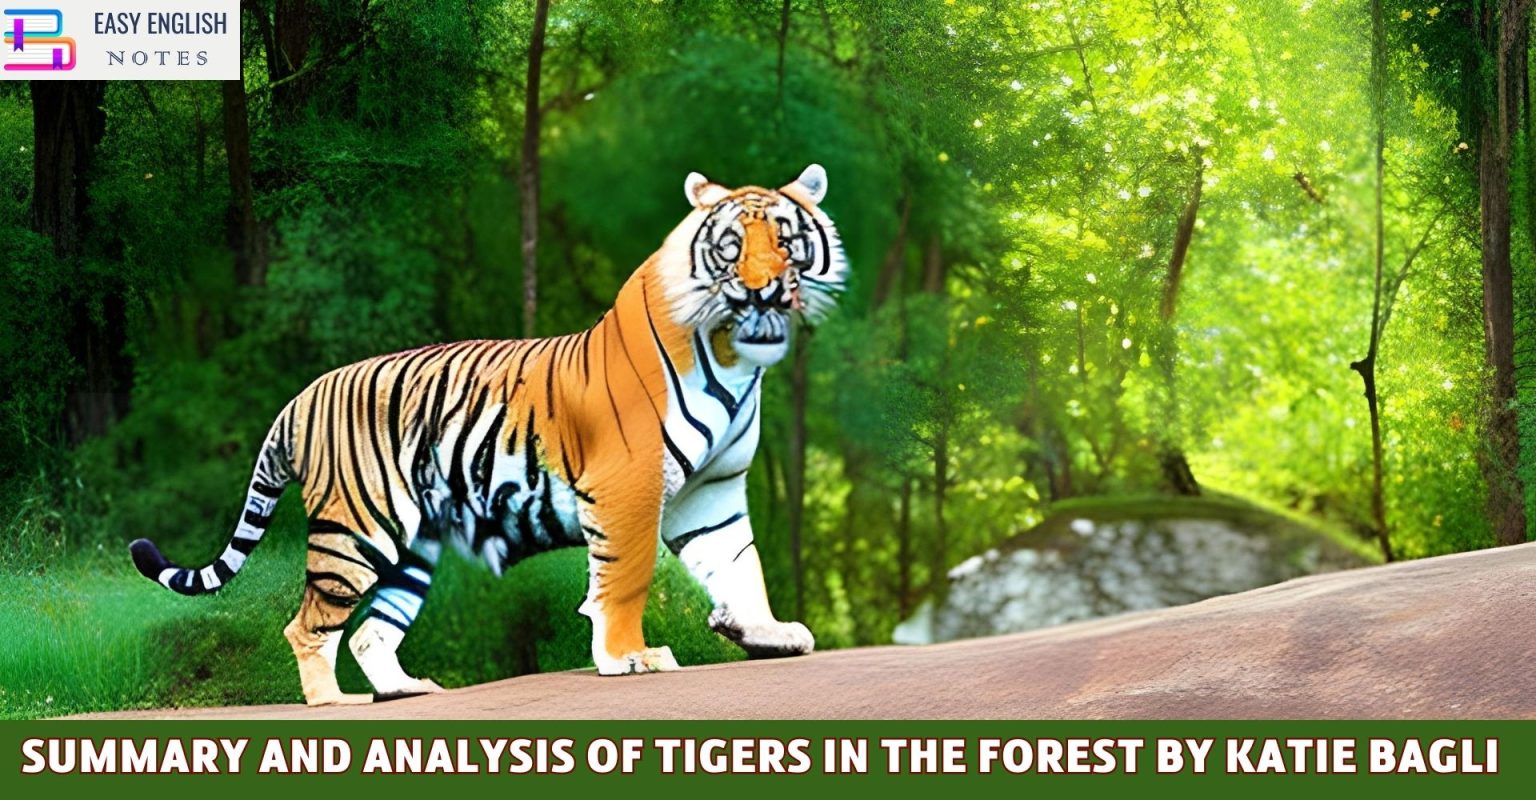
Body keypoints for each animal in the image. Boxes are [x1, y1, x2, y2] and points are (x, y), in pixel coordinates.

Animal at [128, 165, 846, 705]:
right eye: (731, 247)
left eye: (786, 241)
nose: (763, 290)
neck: (732, 358)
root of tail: (299, 398)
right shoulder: (628, 483)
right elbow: (625, 577)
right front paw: (629, 658)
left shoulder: (713, 489)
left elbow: (739, 563)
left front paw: (766, 632)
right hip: (358, 529)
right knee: (307, 627)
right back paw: (332, 700)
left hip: (412, 545)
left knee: (369, 633)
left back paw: (406, 689)